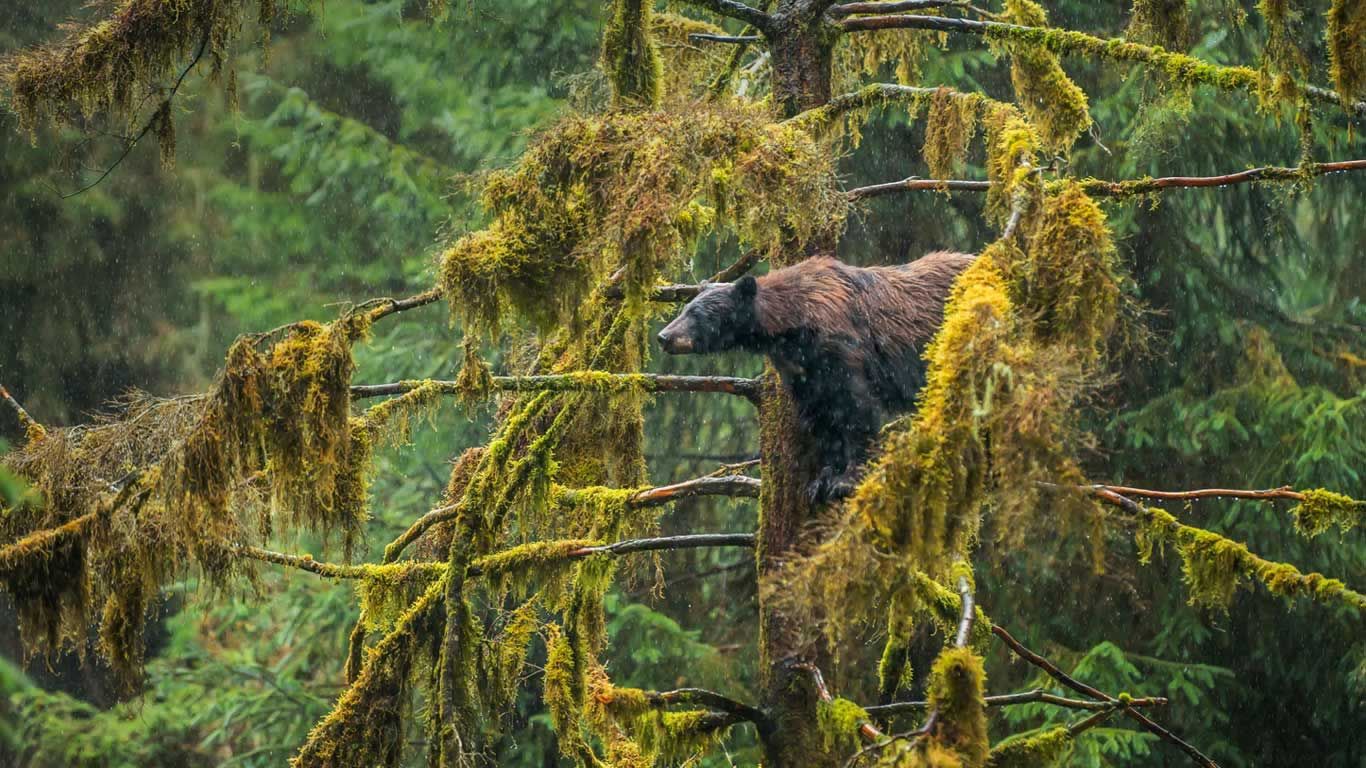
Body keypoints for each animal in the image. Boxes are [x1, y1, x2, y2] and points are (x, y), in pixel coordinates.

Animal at [657, 251, 974, 502]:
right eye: (684, 307)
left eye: (697, 314)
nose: (663, 336)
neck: (792, 327)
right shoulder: (803, 373)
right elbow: (821, 420)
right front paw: (821, 481)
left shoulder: (842, 350)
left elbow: (856, 409)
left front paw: (846, 480)